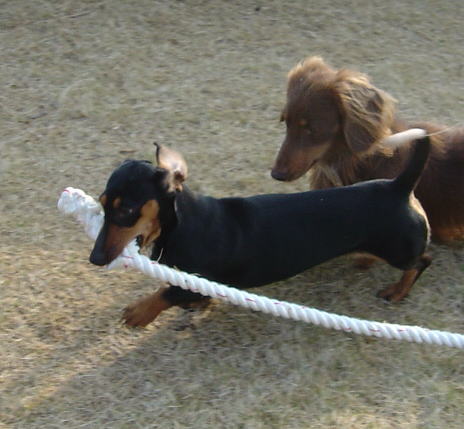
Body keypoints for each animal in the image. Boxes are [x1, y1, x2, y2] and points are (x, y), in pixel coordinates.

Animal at [90, 138, 431, 327]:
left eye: (126, 210)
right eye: (103, 204)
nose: (94, 259)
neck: (184, 225)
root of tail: (398, 186)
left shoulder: (199, 280)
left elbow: (167, 293)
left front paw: (138, 312)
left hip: (399, 250)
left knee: (421, 262)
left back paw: (397, 291)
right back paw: (363, 259)